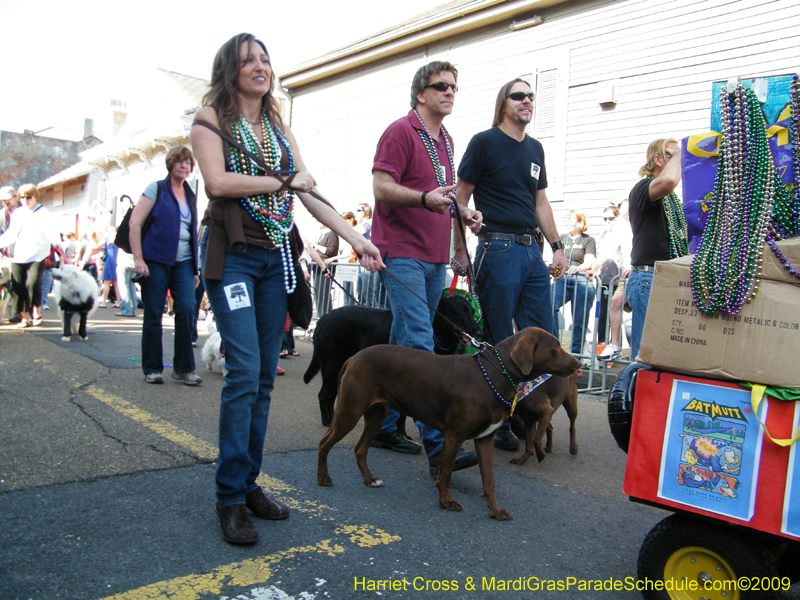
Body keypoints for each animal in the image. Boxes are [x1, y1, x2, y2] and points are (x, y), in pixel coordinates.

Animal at [304, 294, 482, 426]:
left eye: (472, 312)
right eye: (462, 314)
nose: (480, 333)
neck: (435, 330)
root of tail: (323, 318)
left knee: (331, 396)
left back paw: (334, 418)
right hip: (332, 366)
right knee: (323, 395)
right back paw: (326, 420)